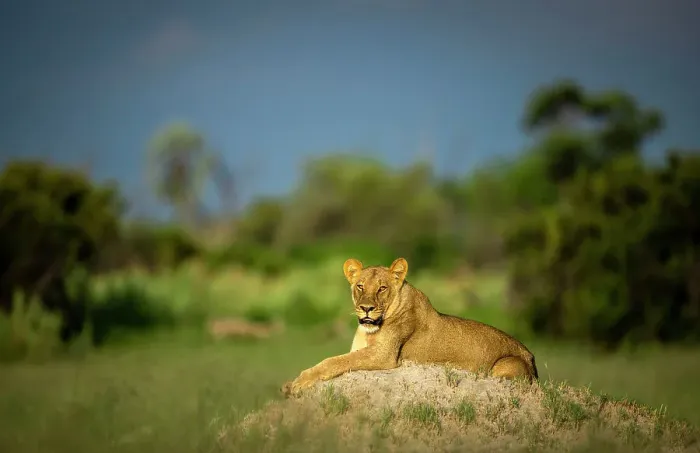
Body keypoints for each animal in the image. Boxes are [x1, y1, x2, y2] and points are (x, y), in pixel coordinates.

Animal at [282, 257, 538, 397]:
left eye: (382, 288)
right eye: (360, 286)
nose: (366, 308)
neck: (369, 330)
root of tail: (531, 356)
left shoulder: (384, 355)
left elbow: (334, 361)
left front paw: (299, 382)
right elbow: (339, 359)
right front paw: (289, 384)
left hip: (505, 366)